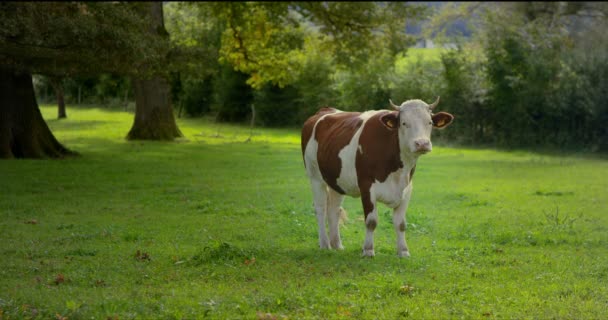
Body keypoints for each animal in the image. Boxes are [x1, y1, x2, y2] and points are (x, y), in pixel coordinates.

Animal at [302, 97, 454, 258]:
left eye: (429, 122)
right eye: (404, 123)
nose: (422, 143)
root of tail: (325, 110)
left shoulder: (407, 189)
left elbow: (401, 223)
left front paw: (403, 251)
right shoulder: (367, 186)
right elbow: (371, 221)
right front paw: (368, 250)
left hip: (336, 180)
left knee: (334, 210)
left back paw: (337, 245)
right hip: (315, 176)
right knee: (320, 209)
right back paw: (325, 244)